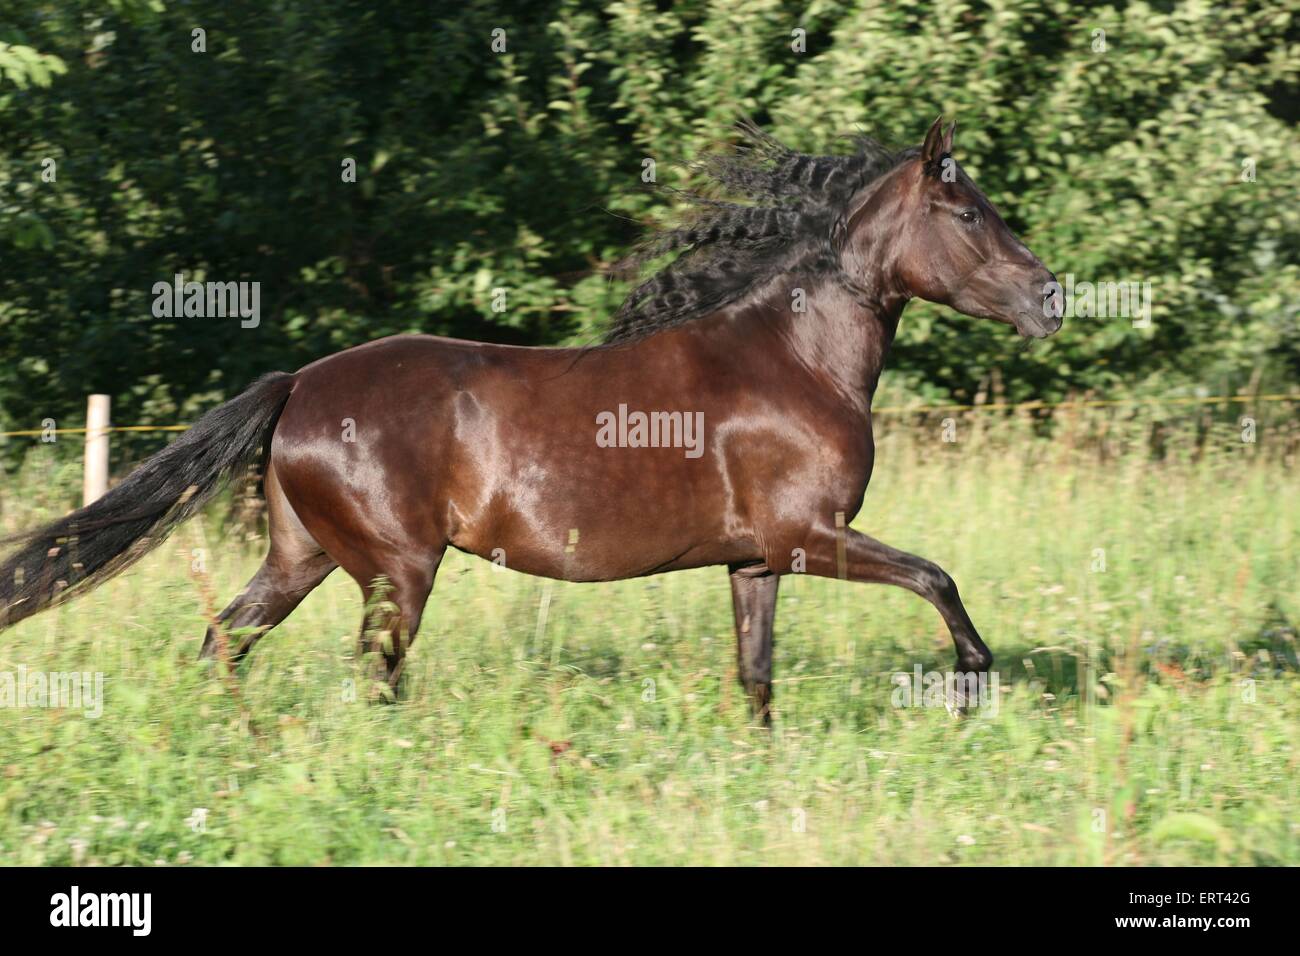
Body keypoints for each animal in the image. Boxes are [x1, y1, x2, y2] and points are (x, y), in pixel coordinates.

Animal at [0, 115, 1060, 723]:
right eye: (969, 213)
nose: (1052, 298)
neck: (797, 359)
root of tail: (299, 385)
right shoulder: (811, 534)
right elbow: (936, 578)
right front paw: (971, 684)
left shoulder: (757, 561)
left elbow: (756, 681)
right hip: (396, 571)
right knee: (372, 676)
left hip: (302, 558)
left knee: (226, 639)